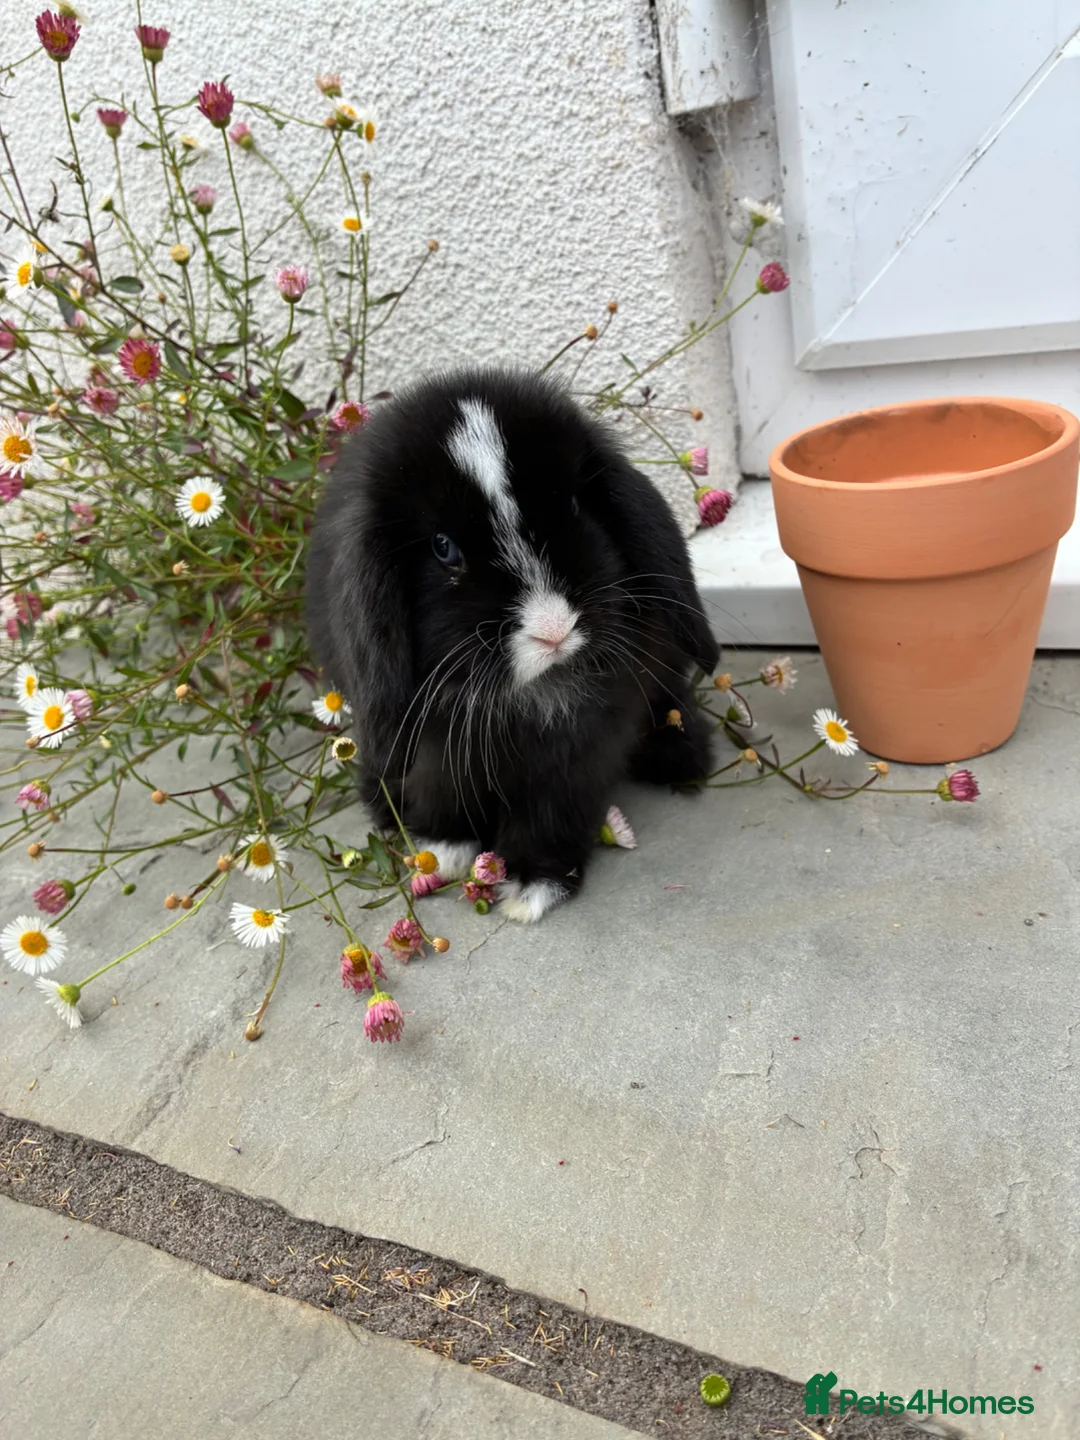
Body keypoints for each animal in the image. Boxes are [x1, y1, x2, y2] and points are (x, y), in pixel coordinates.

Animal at [305, 366, 720, 922]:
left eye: (574, 506)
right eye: (443, 548)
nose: (554, 628)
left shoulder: (579, 751)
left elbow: (550, 810)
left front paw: (531, 887)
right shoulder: (435, 749)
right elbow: (441, 792)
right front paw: (445, 851)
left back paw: (682, 757)